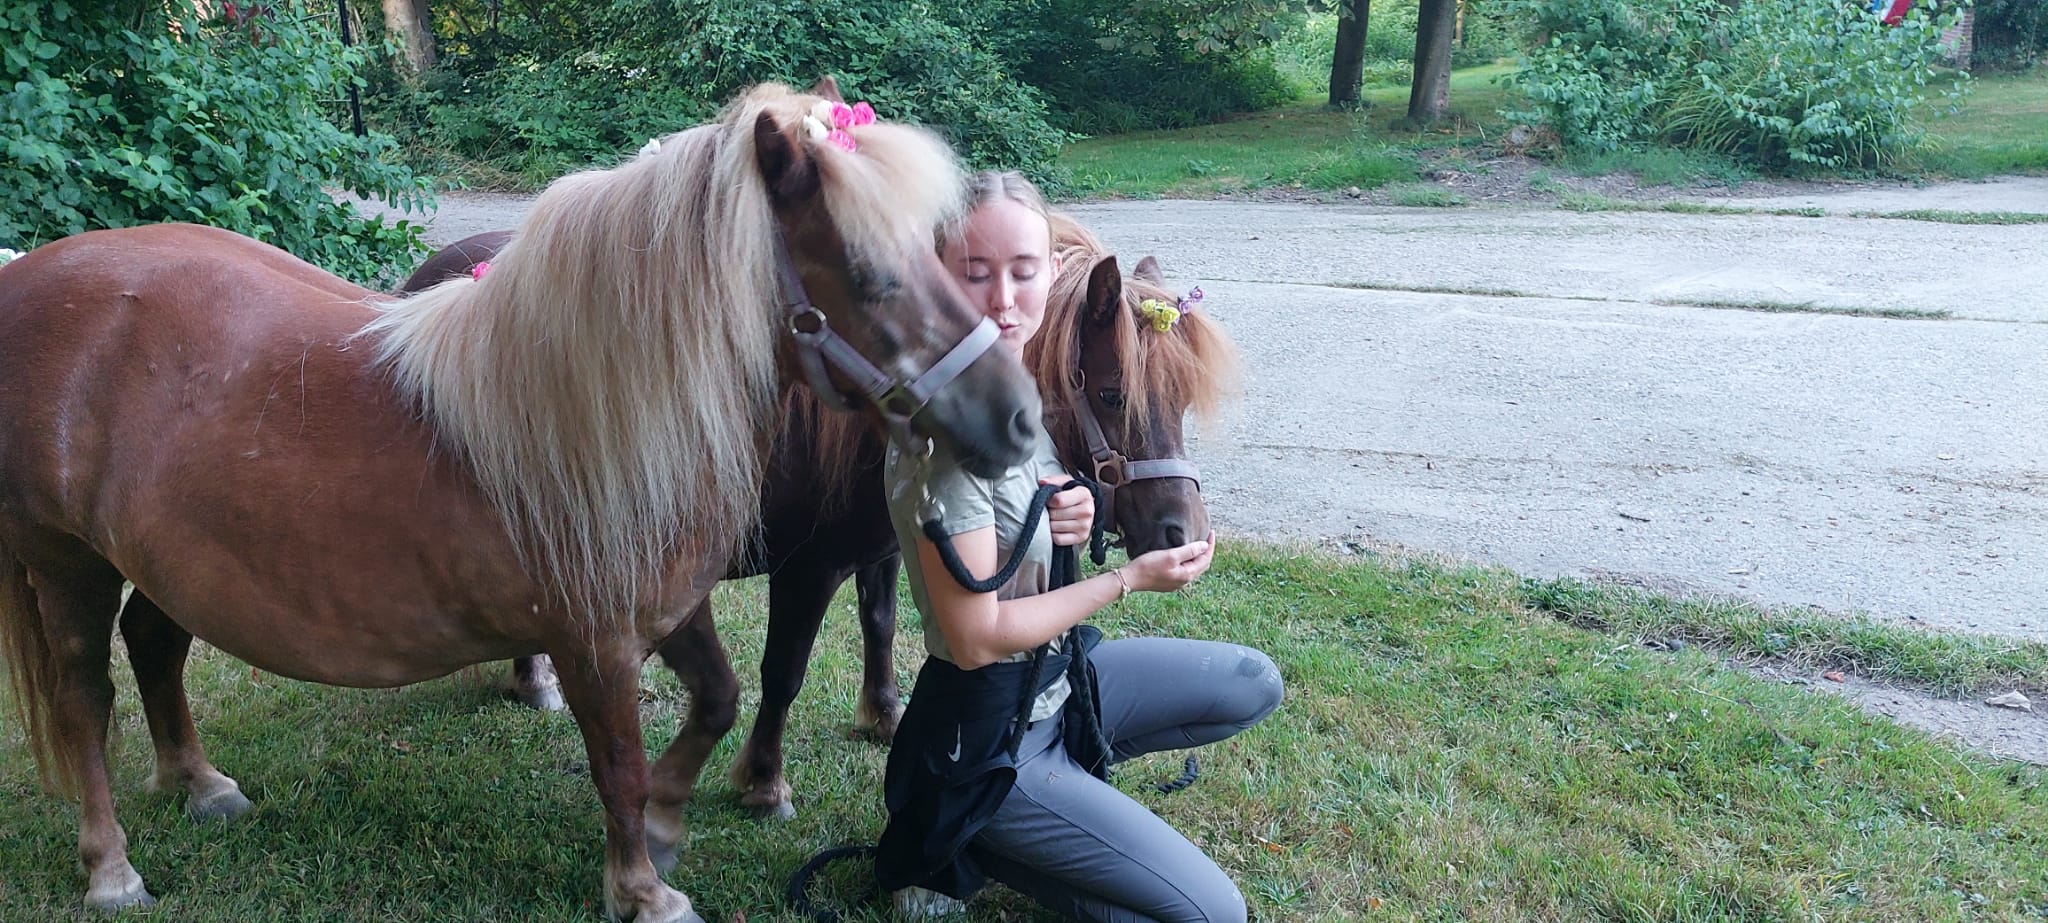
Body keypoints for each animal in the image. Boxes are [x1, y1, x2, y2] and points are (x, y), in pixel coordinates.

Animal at [0, 81, 1041, 921]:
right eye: (870, 276)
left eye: (941, 253)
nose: (1021, 419)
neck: (595, 408)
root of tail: (25, 277)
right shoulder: (594, 641)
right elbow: (619, 762)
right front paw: (643, 887)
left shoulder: (672, 607)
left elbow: (717, 698)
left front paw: (670, 822)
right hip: (64, 561)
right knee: (85, 700)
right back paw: (111, 869)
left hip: (164, 559)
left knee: (153, 646)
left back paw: (200, 784)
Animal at [397, 210, 1241, 819]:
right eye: (1112, 395)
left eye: (1178, 400)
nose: (1184, 538)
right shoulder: (806, 567)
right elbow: (784, 671)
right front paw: (764, 781)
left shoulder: (887, 546)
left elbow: (883, 626)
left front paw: (884, 716)